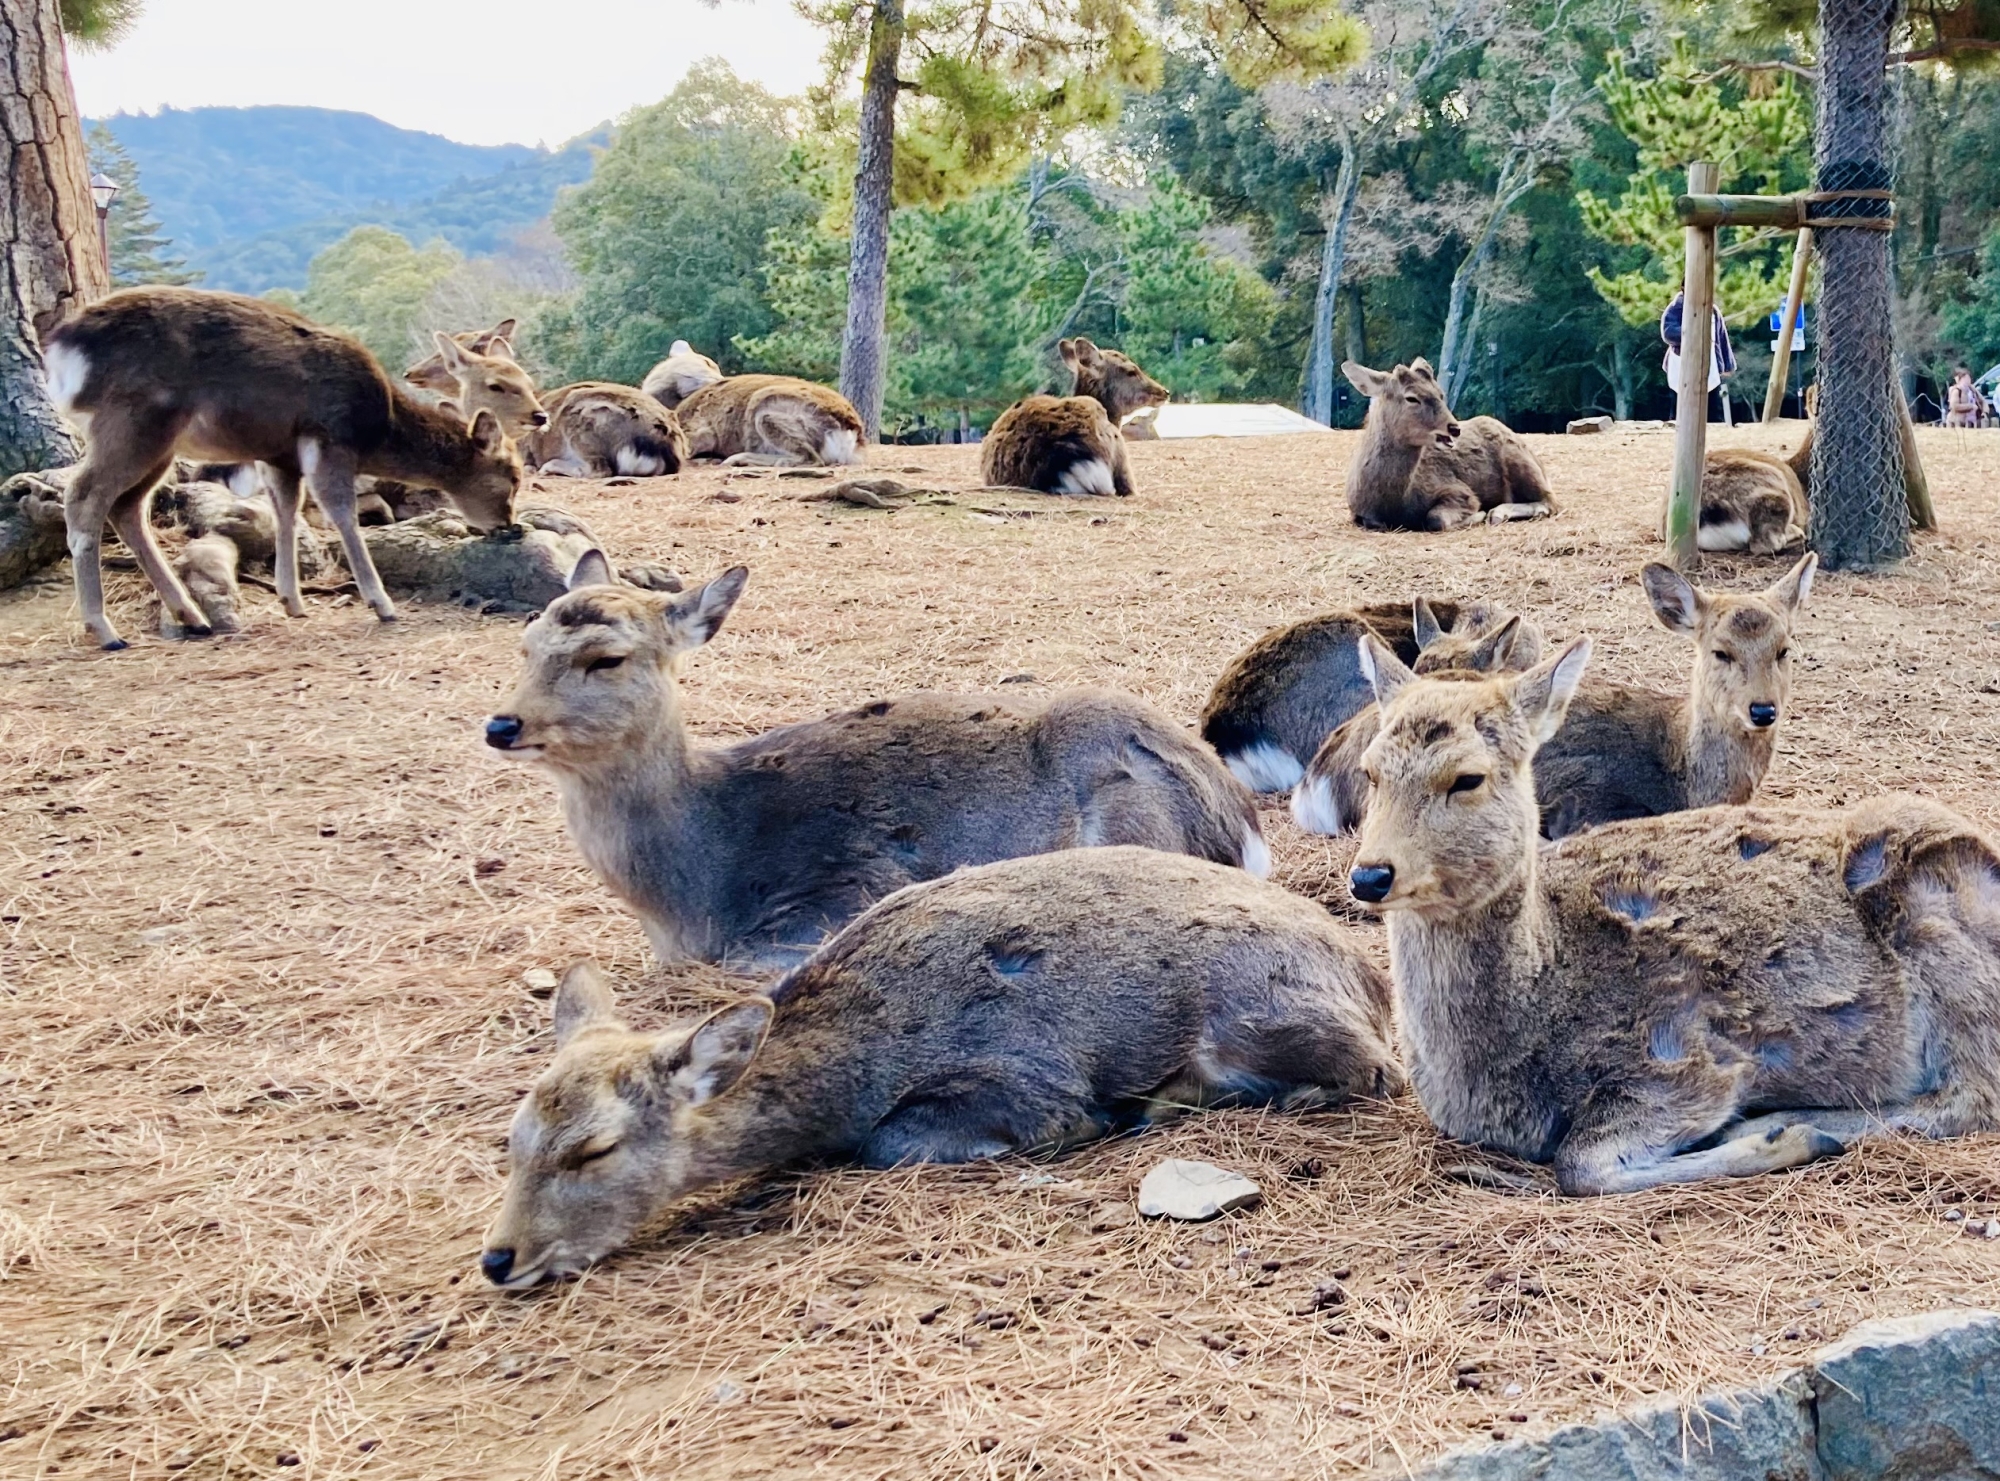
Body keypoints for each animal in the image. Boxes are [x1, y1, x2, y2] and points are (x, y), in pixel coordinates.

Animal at [43, 288, 523, 649]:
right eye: (512, 476)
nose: (509, 525)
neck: (378, 426)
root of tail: (62, 347)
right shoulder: (327, 437)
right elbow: (340, 512)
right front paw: (382, 604)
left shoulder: (280, 455)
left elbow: (286, 511)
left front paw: (292, 600)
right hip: (133, 422)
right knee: (83, 496)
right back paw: (105, 630)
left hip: (156, 443)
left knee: (127, 509)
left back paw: (193, 617)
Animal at [478, 845, 1398, 1286]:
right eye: (511, 1139)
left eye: (594, 1147)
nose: (500, 1258)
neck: (856, 1064)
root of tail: (1370, 976)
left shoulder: (1026, 1083)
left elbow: (893, 1140)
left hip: (1257, 1015)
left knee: (1365, 1068)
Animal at [1294, 556, 1815, 841]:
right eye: (1720, 651)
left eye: (1785, 649)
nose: (1762, 710)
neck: (1687, 778)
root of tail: (1314, 783)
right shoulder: (1591, 798)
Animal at [1343, 359, 1554, 530]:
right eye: (1411, 397)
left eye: (1441, 394)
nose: (1454, 428)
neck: (1394, 503)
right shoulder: (1359, 512)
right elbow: (1370, 522)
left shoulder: (1458, 490)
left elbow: (1436, 518)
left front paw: (1478, 514)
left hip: (1518, 461)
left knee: (1549, 501)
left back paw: (1498, 512)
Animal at [1345, 635, 2000, 1195]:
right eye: (1370, 772)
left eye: (1468, 778)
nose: (1370, 875)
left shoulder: (1680, 1057)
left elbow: (1580, 1164)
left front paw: (1781, 1138)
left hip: (1941, 927)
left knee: (1971, 1096)